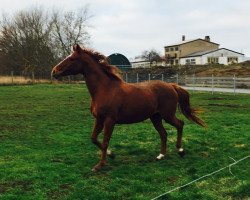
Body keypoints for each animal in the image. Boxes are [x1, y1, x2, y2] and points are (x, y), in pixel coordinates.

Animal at [51, 44, 205, 171]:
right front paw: (111, 155)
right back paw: (161, 155)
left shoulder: (109, 120)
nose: (54, 71)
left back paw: (180, 150)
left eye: (72, 59)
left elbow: (105, 141)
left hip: (167, 115)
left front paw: (100, 165)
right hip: (155, 117)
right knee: (164, 133)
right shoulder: (99, 119)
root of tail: (171, 85)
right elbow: (94, 138)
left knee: (180, 124)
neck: (105, 89)